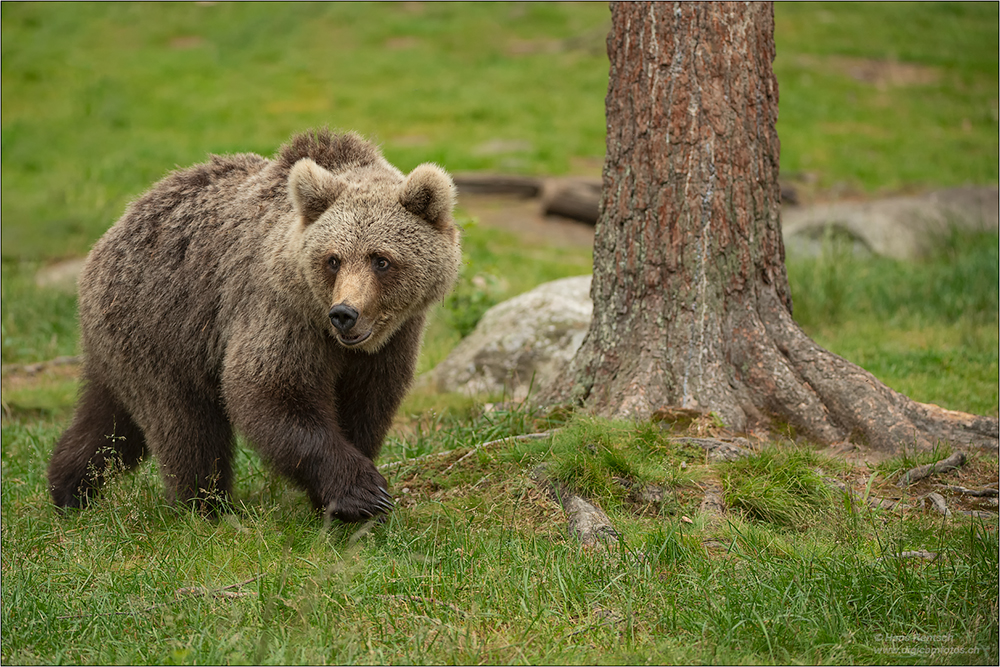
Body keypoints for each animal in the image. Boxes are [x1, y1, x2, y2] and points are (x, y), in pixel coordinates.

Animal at [47, 126, 460, 520]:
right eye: (333, 259)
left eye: (381, 259)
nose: (345, 313)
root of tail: (110, 234)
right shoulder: (281, 311)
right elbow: (270, 390)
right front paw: (362, 493)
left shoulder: (393, 340)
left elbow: (367, 403)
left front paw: (338, 499)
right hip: (163, 327)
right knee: (187, 427)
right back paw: (205, 507)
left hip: (131, 340)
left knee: (109, 425)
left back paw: (69, 488)